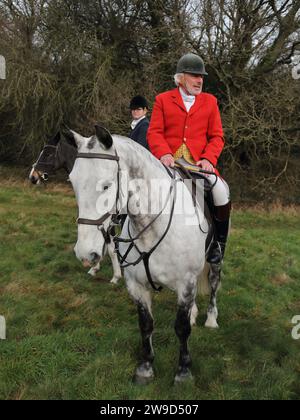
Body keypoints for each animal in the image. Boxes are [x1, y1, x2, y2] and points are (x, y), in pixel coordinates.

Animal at [28, 131, 122, 282]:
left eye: (48, 154)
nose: (32, 177)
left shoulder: (108, 220)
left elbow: (110, 246)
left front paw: (116, 276)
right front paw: (95, 267)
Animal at [68, 124, 220, 384]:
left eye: (106, 186)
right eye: (73, 182)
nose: (85, 253)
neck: (152, 224)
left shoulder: (186, 281)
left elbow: (181, 328)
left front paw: (183, 371)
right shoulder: (136, 285)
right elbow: (146, 324)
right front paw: (145, 367)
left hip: (214, 261)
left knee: (213, 285)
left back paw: (211, 318)